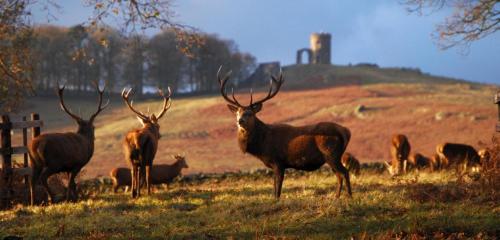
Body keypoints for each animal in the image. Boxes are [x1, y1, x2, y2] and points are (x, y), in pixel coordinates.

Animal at [218, 67, 352, 199]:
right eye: (237, 113)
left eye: (250, 113)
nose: (239, 121)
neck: (262, 144)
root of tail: (346, 131)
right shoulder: (274, 165)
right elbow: (274, 187)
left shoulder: (278, 162)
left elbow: (278, 189)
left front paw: (277, 200)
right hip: (332, 157)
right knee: (339, 175)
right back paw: (336, 197)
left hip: (331, 153)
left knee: (345, 172)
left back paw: (350, 196)